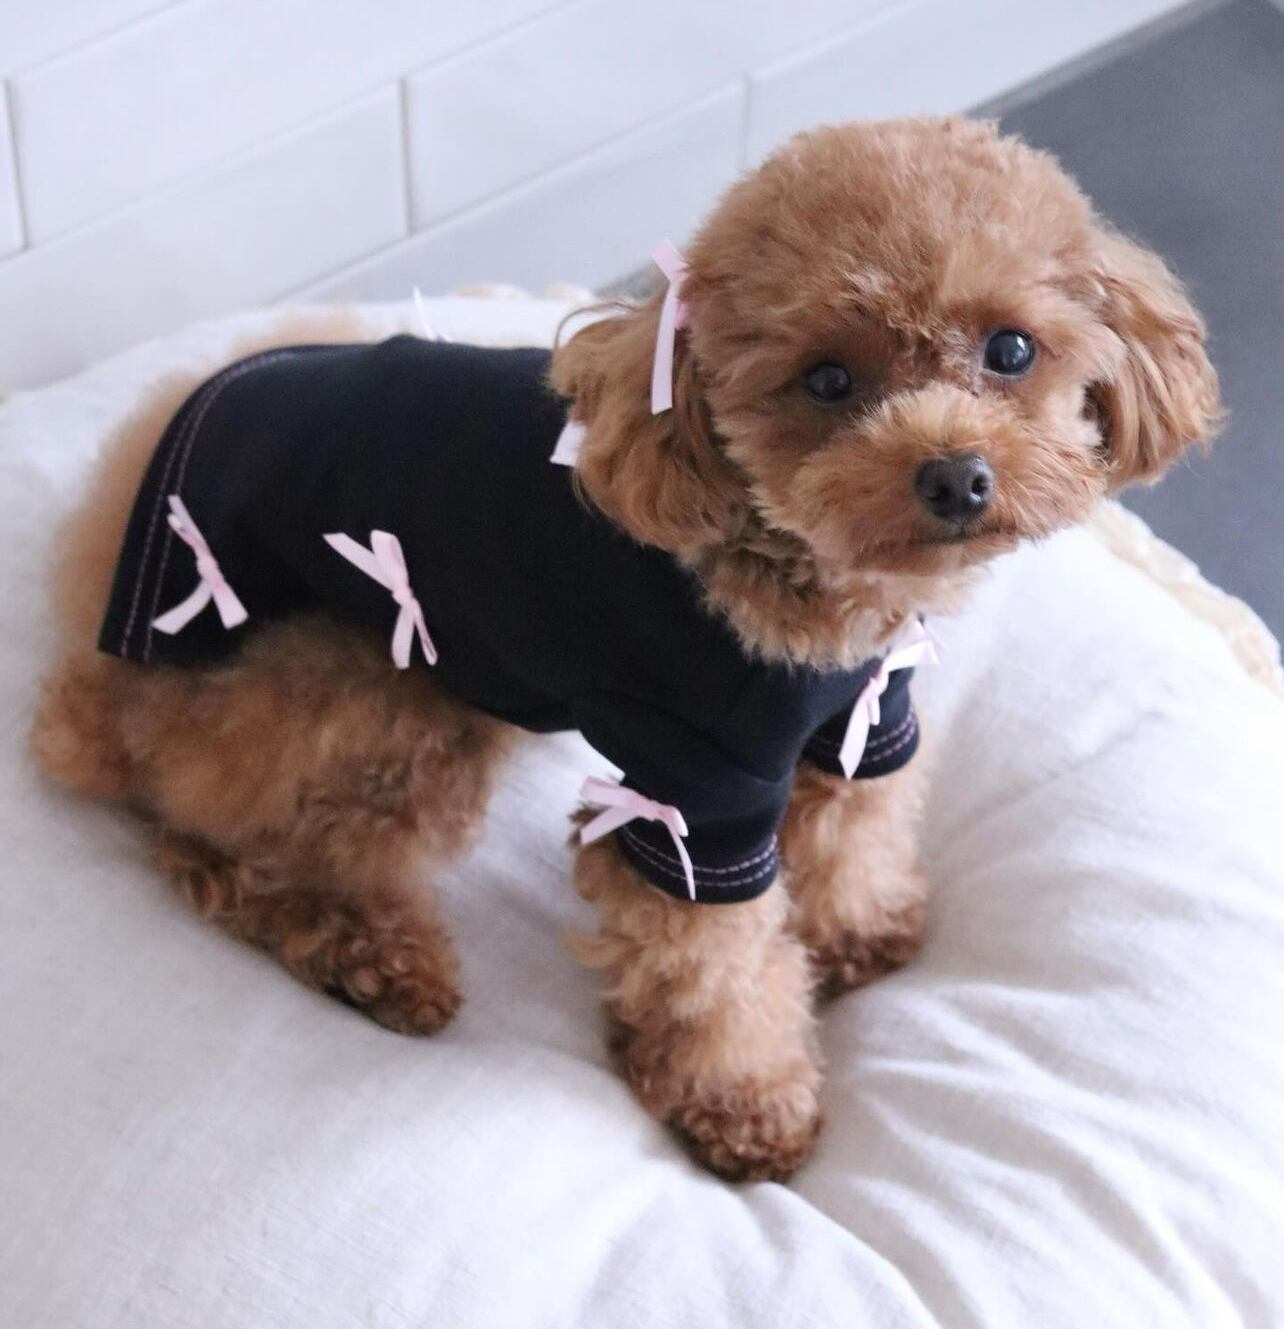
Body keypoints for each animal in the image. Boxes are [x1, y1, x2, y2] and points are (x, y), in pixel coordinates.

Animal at [30, 117, 1219, 1181]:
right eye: (827, 381)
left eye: (1011, 349)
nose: (956, 477)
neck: (791, 566)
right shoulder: (692, 792)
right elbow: (717, 968)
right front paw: (749, 1107)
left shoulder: (861, 715)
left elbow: (857, 830)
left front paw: (860, 936)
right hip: (371, 694)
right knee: (223, 842)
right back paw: (371, 957)